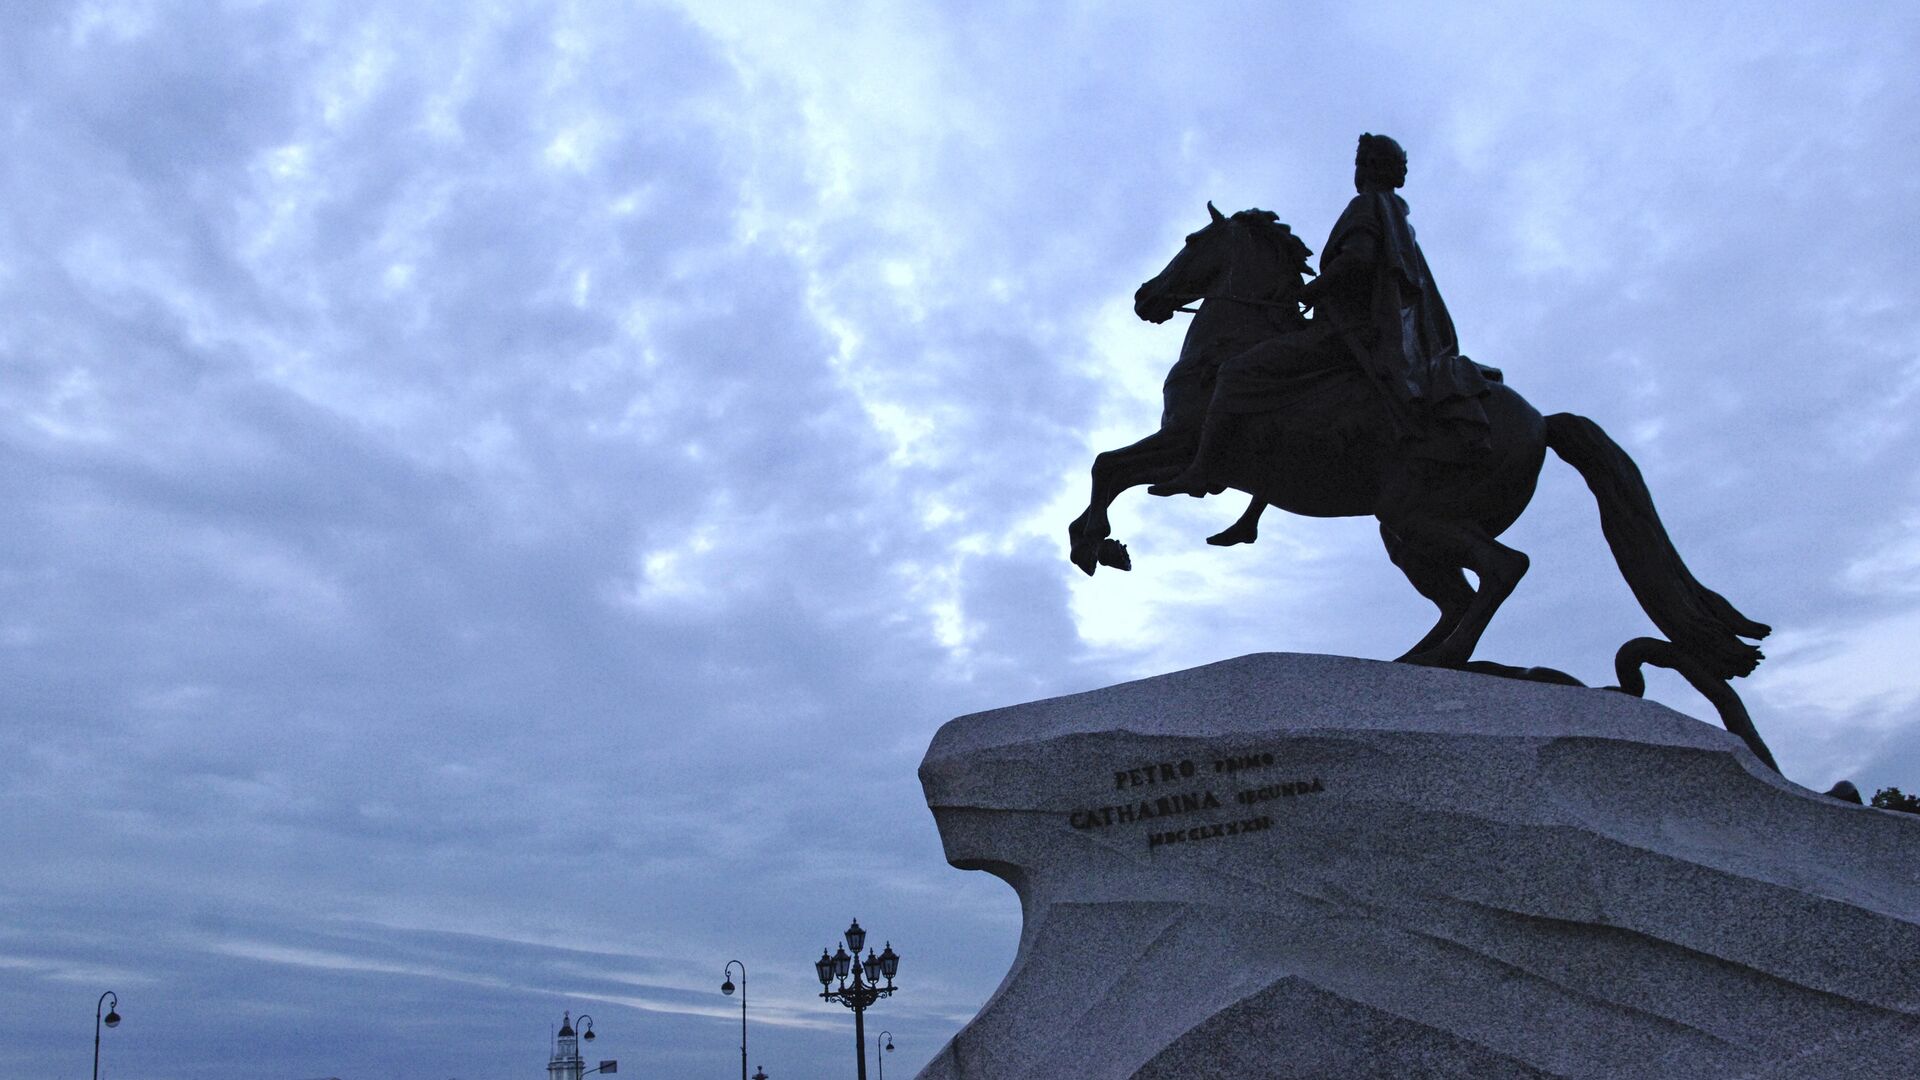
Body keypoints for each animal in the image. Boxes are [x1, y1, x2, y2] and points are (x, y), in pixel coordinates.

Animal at [1067, 201, 1781, 768]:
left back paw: (1444, 662)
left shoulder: (1189, 446)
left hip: (1418, 519)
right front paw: (1100, 544)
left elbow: (1110, 465)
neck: (1236, 339)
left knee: (1503, 570)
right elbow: (1110, 467)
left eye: (1192, 241)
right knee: (1459, 596)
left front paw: (1096, 545)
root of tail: (1541, 423)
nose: (1145, 297)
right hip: (1409, 534)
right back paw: (1418, 662)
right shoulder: (1186, 453)